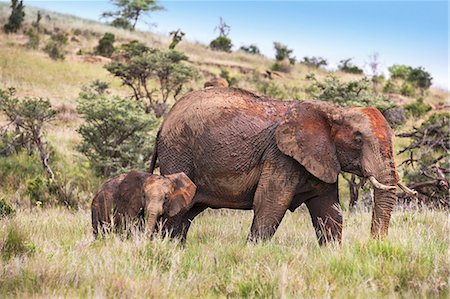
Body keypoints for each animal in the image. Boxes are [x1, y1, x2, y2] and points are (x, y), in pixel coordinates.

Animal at [150, 88, 414, 245]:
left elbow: (329, 212)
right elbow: (271, 204)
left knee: (187, 213)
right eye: (358, 139)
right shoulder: (281, 156)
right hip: (179, 152)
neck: (335, 111)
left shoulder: (322, 159)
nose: (374, 245)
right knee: (177, 212)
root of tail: (162, 124)